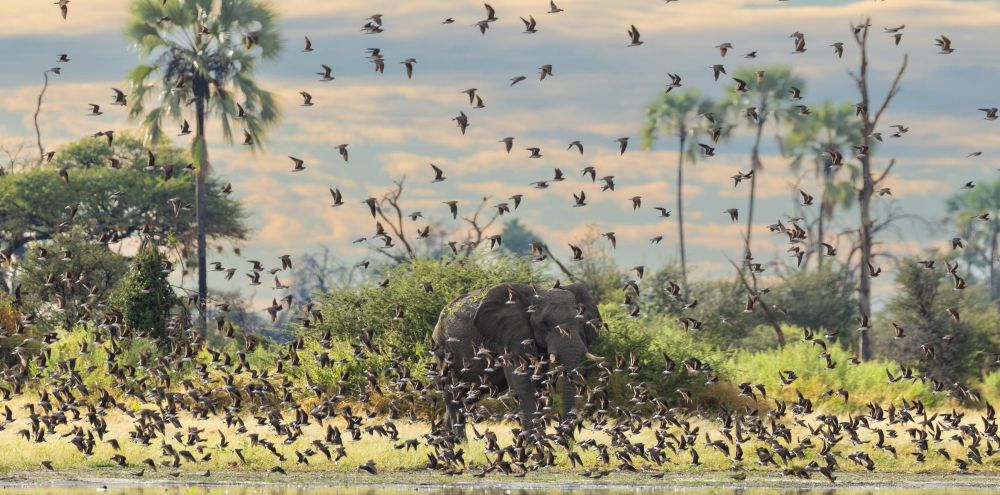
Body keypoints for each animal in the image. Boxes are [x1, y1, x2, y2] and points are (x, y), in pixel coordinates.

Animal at [430, 282, 604, 439]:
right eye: (544, 324)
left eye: (580, 322)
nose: (562, 437)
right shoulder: (509, 336)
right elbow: (523, 382)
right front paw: (534, 443)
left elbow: (538, 382)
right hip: (443, 351)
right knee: (454, 395)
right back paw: (460, 444)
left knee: (466, 396)